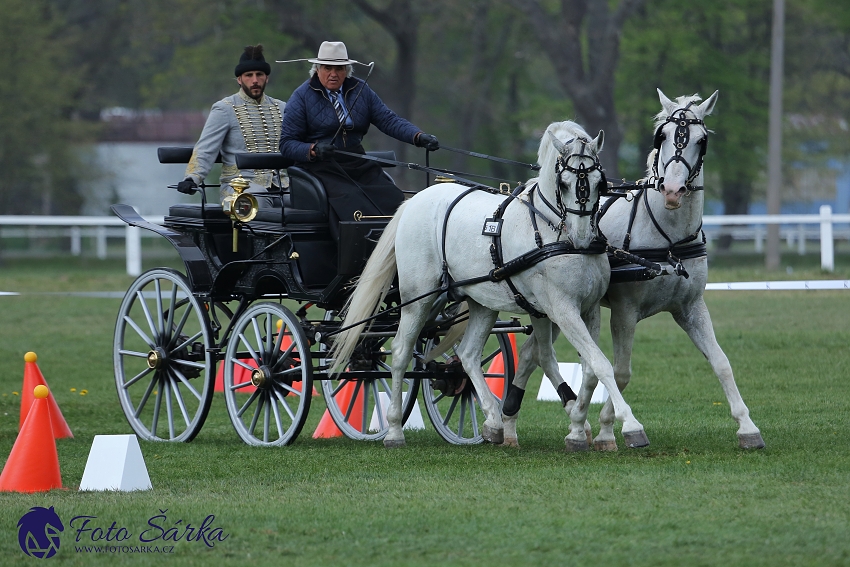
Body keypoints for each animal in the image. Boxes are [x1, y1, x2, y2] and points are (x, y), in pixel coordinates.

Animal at [330, 122, 644, 450]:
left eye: (599, 182)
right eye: (565, 183)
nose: (582, 238)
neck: (550, 232)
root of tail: (415, 200)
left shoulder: (587, 308)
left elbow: (591, 369)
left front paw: (579, 426)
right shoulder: (562, 309)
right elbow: (599, 364)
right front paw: (630, 425)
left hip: (481, 302)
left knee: (468, 354)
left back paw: (493, 422)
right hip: (417, 298)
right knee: (401, 351)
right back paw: (393, 429)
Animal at [500, 90, 764, 452]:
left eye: (702, 140)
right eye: (662, 136)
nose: (672, 190)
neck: (668, 239)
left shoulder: (691, 307)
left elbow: (722, 363)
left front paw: (747, 427)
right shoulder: (624, 311)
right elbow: (620, 371)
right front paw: (614, 430)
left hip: (552, 309)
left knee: (530, 354)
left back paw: (508, 425)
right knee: (537, 355)